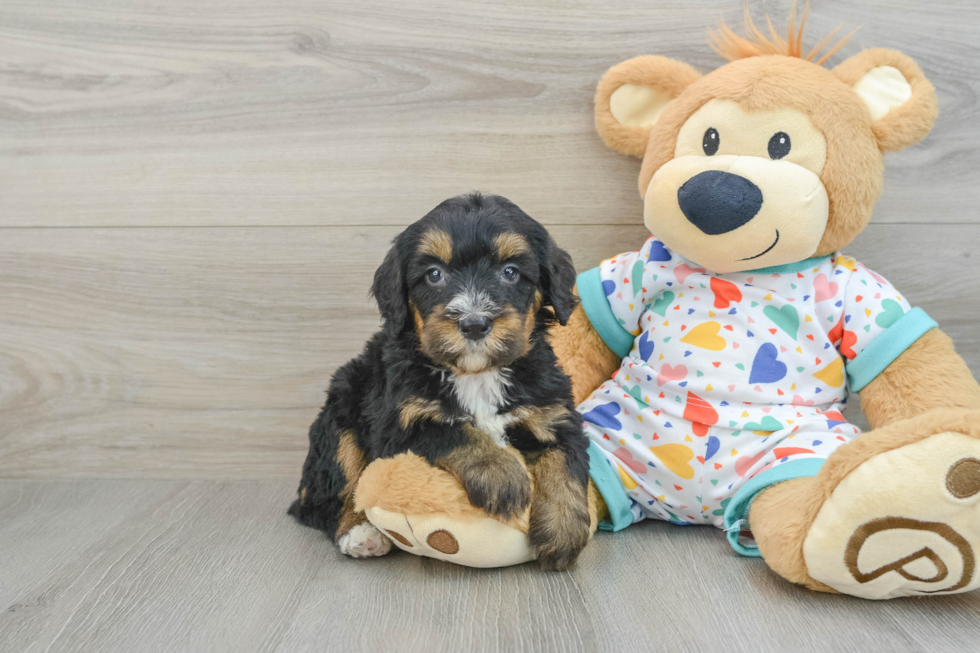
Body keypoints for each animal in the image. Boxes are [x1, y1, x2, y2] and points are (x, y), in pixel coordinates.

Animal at [290, 191, 588, 568]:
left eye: (510, 272)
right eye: (434, 275)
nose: (474, 323)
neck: (476, 374)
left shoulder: (553, 411)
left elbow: (566, 463)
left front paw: (563, 533)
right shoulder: (399, 423)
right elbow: (454, 431)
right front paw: (502, 474)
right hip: (342, 409)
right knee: (326, 497)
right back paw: (360, 532)